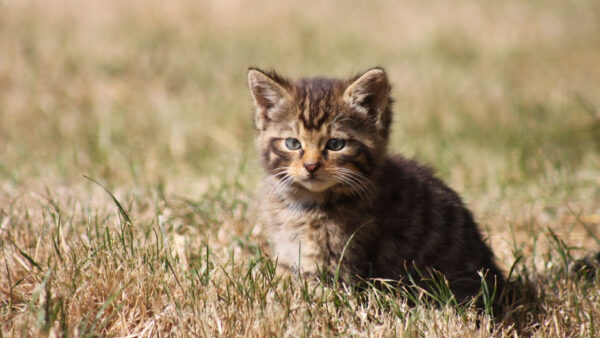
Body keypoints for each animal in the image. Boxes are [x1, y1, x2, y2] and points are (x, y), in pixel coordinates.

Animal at [248, 66, 506, 304]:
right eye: (292, 143)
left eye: (335, 144)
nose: (311, 166)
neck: (307, 204)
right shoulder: (289, 253)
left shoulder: (339, 262)